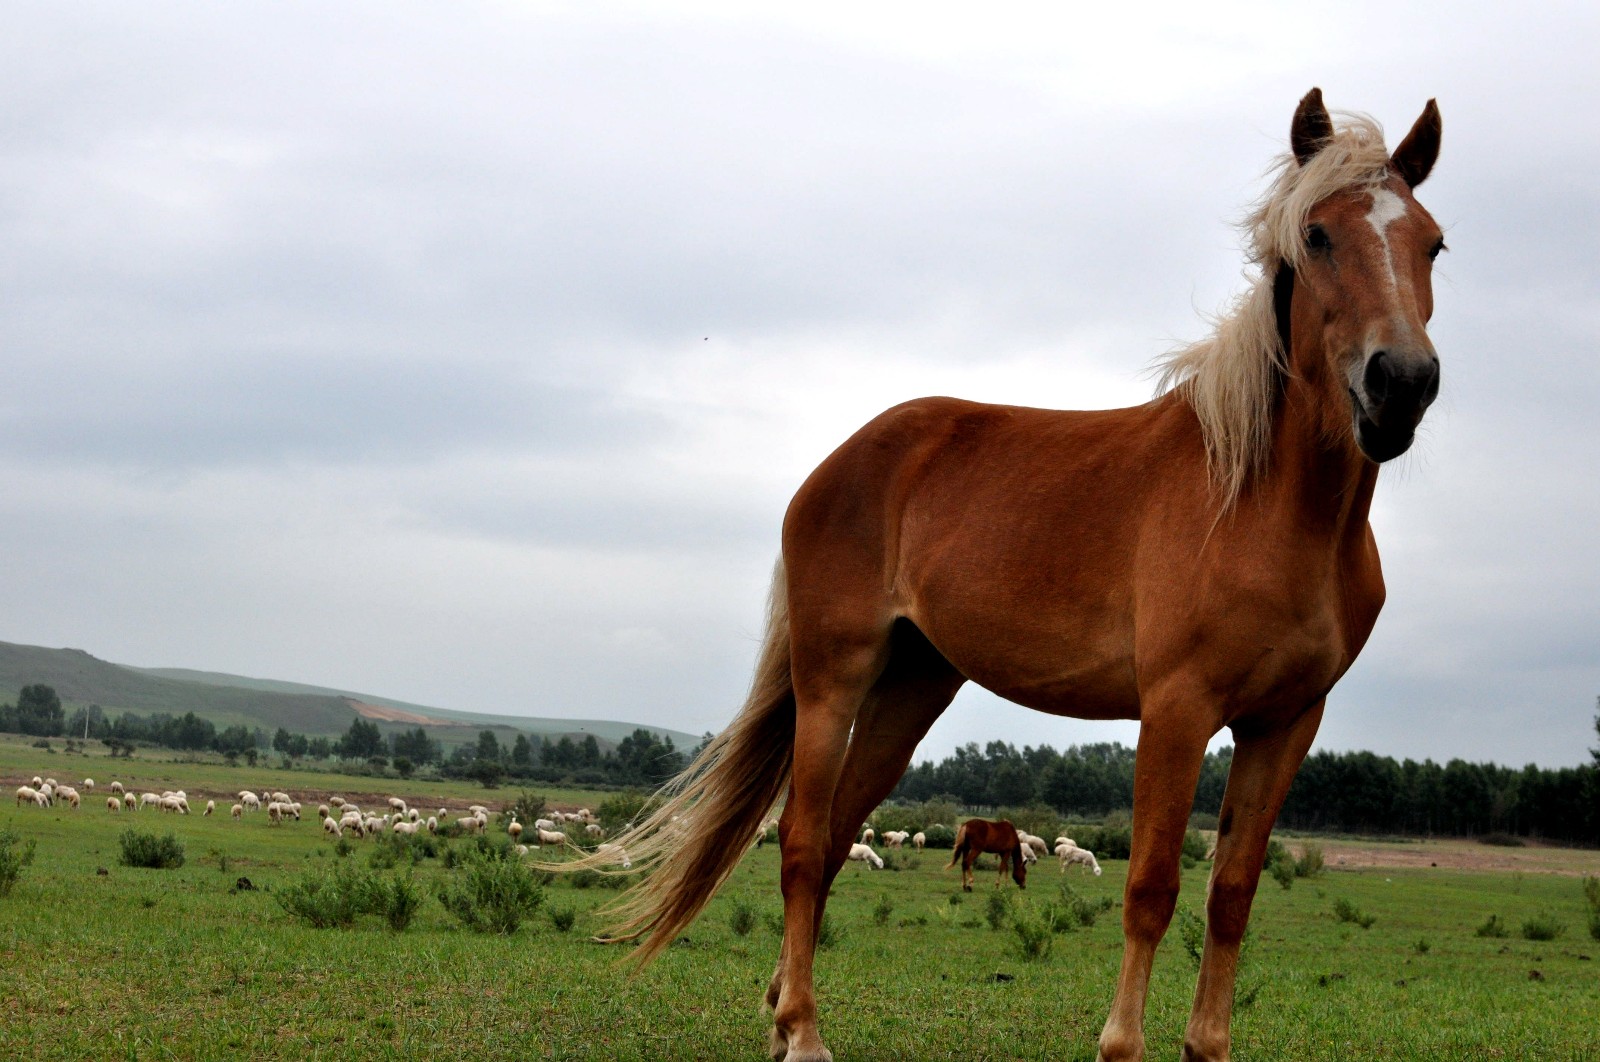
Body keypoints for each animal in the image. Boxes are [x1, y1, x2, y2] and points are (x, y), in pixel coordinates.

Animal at [566, 91, 1452, 1062]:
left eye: (1433, 243)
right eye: (1319, 235)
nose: (1401, 384)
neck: (1268, 506)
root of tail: (838, 463)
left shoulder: (1284, 724)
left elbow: (1231, 896)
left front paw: (1207, 1046)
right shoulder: (1178, 710)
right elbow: (1151, 888)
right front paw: (1120, 1046)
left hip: (913, 688)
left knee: (834, 840)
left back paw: (779, 1011)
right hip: (833, 678)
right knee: (800, 842)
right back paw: (802, 1030)